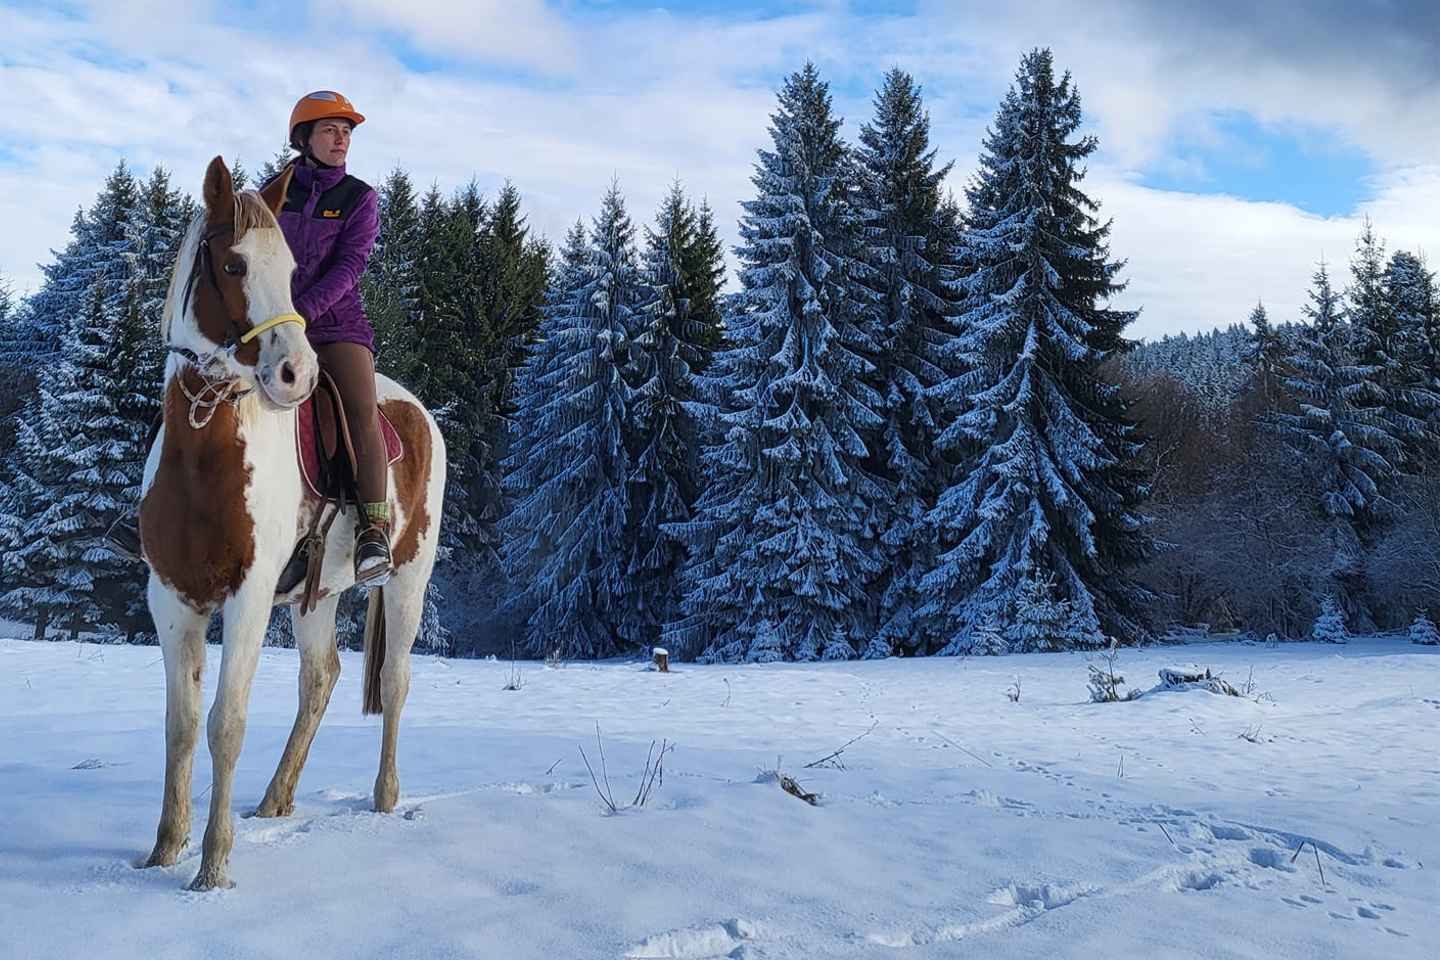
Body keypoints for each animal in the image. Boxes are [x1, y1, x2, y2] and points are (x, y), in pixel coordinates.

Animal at [136, 157, 446, 891]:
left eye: (291, 266)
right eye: (234, 264)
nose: (296, 374)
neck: (206, 455)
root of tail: (419, 413)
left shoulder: (247, 599)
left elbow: (226, 722)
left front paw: (213, 866)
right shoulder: (172, 600)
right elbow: (180, 724)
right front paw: (165, 848)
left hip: (408, 580)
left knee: (394, 681)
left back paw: (384, 797)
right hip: (318, 594)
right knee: (320, 678)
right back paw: (277, 799)